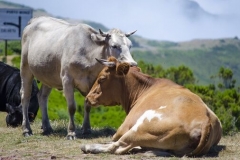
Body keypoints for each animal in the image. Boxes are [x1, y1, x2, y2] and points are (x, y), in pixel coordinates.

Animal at [81, 57, 222, 157]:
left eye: (101, 78)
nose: (87, 97)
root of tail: (205, 120)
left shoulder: (123, 128)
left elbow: (114, 140)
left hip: (142, 126)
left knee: (117, 147)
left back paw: (88, 147)